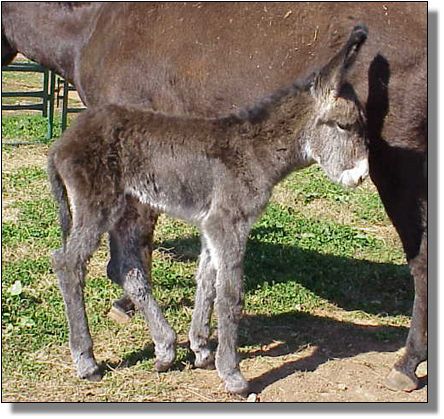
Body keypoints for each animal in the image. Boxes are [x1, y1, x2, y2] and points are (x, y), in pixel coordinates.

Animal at [47, 25, 368, 394]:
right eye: (344, 125)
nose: (363, 176)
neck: (255, 150)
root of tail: (64, 140)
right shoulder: (227, 223)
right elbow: (231, 295)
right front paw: (232, 374)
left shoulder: (211, 226)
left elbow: (208, 281)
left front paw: (200, 349)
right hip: (97, 206)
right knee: (68, 263)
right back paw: (87, 362)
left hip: (127, 207)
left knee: (126, 267)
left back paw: (165, 348)